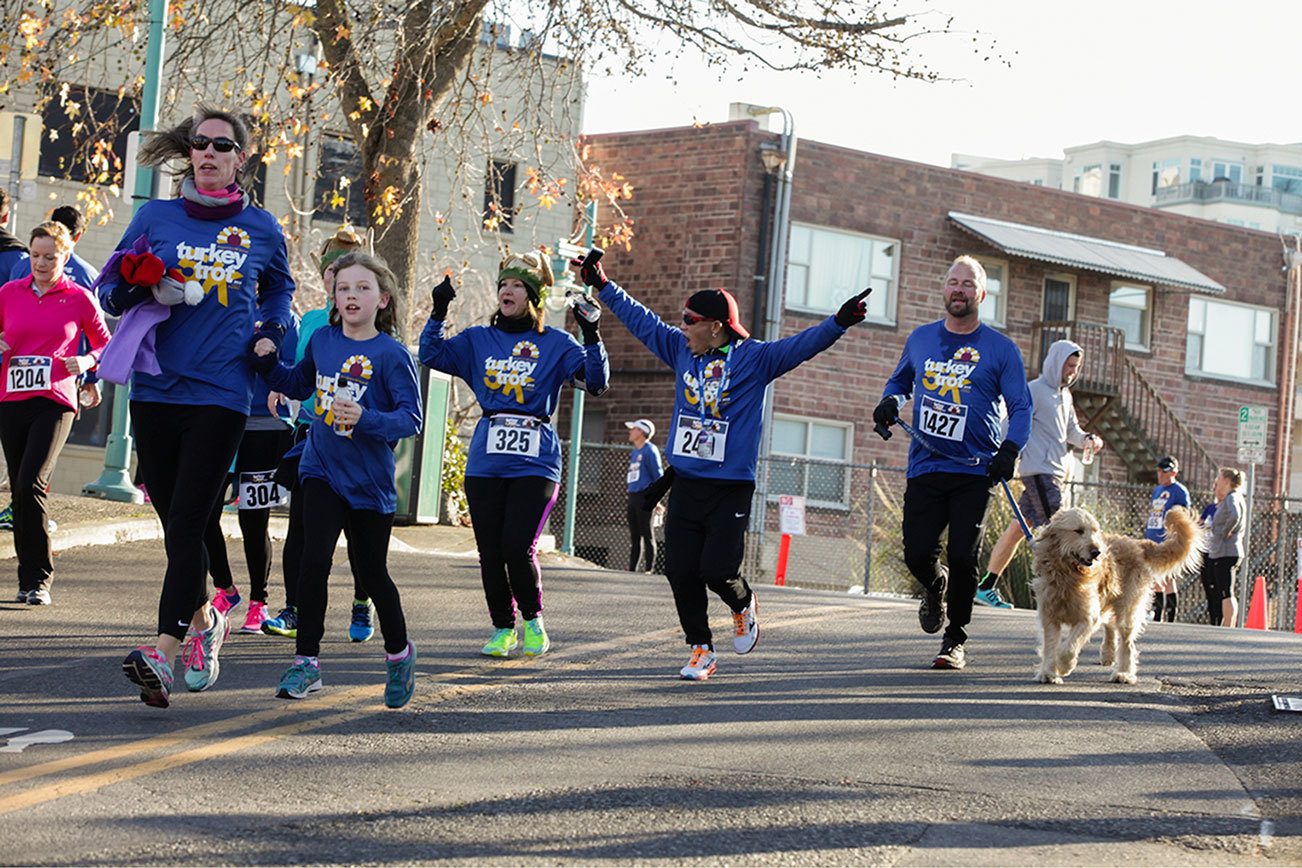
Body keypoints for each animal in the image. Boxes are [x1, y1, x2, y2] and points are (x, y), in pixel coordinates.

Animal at [1031, 510, 1203, 687]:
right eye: (1078, 531)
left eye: (1095, 531)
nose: (1097, 552)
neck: (1067, 576)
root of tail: (1137, 544)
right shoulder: (1049, 617)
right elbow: (1050, 645)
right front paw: (1049, 673)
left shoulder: (1088, 618)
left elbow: (1070, 647)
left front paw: (1063, 666)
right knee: (1110, 625)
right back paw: (1108, 653)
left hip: (1128, 609)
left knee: (1127, 643)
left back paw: (1123, 673)